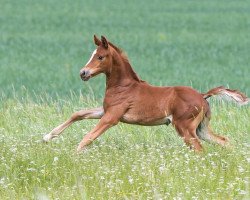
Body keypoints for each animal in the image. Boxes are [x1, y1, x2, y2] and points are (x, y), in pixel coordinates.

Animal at [43, 35, 248, 152]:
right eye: (92, 55)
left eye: (100, 57)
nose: (83, 73)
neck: (123, 86)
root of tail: (203, 95)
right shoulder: (106, 111)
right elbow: (78, 113)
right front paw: (48, 136)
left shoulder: (112, 117)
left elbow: (88, 137)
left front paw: (74, 156)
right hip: (201, 128)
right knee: (223, 140)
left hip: (185, 128)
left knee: (199, 149)